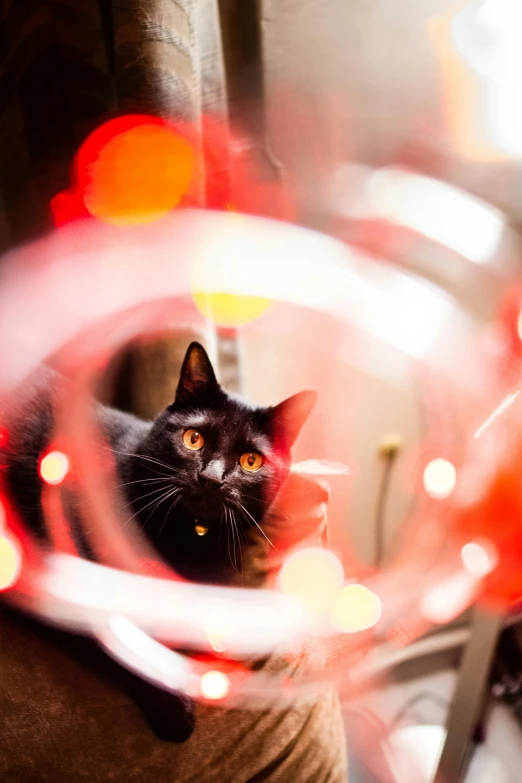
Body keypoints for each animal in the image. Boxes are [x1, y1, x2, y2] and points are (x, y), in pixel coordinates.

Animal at [2, 342, 314, 740]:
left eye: (250, 460)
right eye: (193, 438)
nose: (211, 477)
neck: (188, 539)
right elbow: (129, 642)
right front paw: (177, 713)